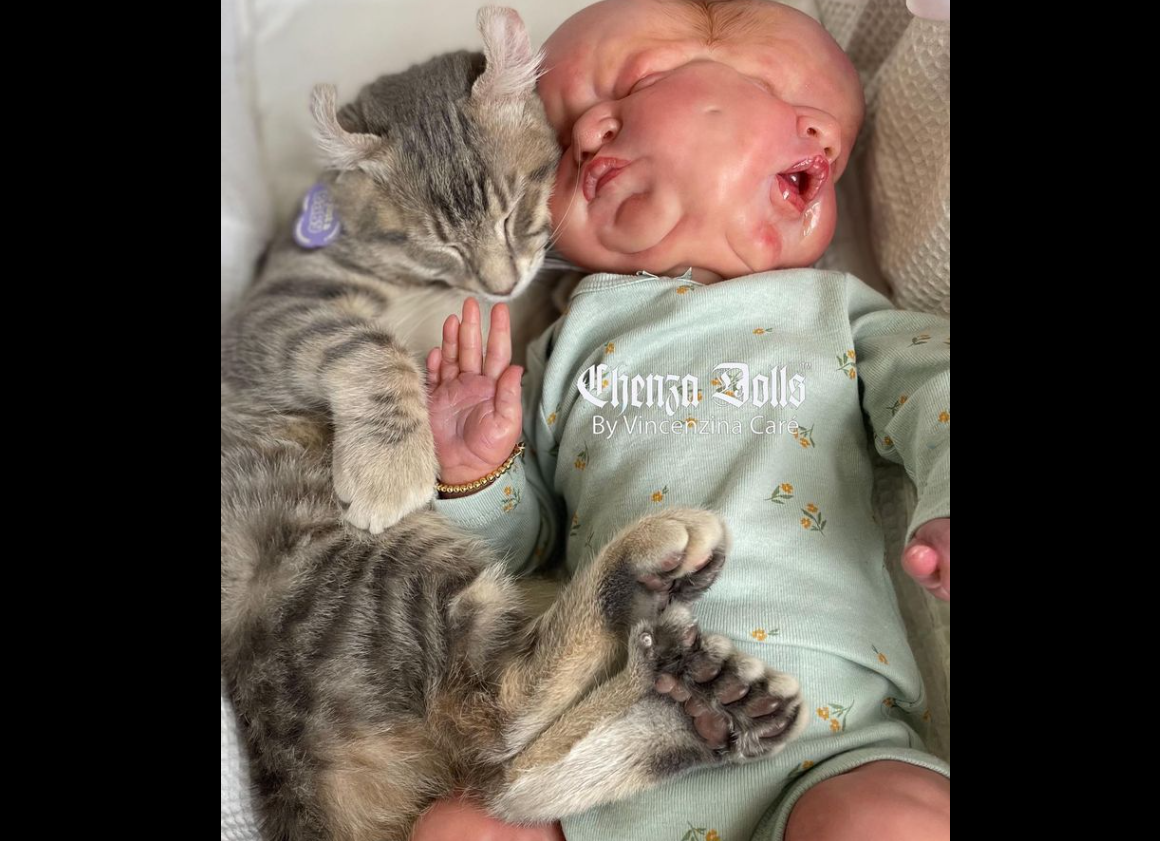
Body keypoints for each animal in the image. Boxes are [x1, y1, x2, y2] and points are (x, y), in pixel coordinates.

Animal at [220, 8, 806, 840]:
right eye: (437, 243)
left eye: (513, 210)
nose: (498, 285)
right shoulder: (274, 312)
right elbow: (365, 342)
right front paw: (394, 460)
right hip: (355, 573)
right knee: (500, 713)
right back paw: (646, 578)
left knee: (509, 773)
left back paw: (710, 713)